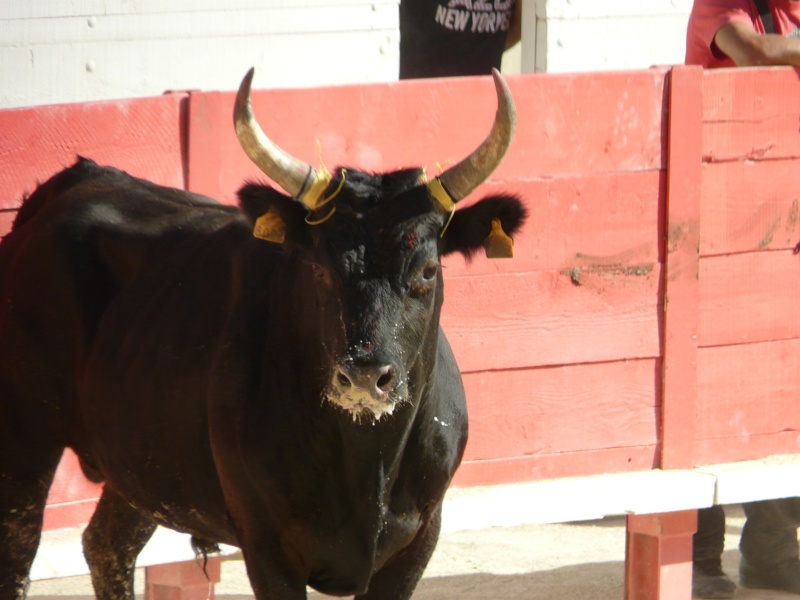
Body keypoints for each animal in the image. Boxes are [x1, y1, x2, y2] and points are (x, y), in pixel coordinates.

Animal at [0, 71, 524, 600]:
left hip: (143, 459)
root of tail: (74, 180)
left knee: (107, 544)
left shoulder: (417, 544)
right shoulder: (268, 547)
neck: (367, 459)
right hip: (25, 438)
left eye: (428, 270)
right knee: (19, 554)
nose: (363, 377)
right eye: (318, 267)